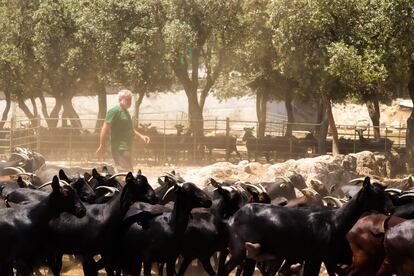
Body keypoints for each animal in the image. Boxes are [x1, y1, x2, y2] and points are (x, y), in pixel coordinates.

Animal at [218, 177, 392, 276]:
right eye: (375, 194)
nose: (389, 208)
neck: (333, 221)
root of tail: (233, 218)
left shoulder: (323, 258)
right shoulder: (315, 257)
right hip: (240, 250)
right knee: (225, 270)